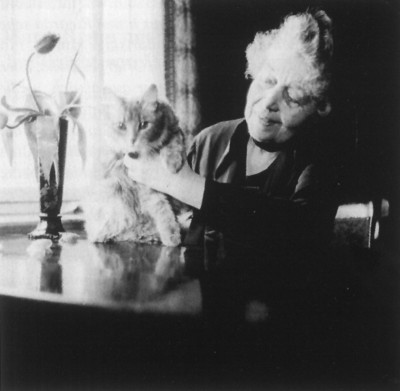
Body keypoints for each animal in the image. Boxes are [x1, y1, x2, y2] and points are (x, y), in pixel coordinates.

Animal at [84, 85, 188, 248]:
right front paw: (172, 236)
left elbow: (173, 143)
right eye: (121, 126)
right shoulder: (145, 188)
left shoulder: (174, 129)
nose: (132, 140)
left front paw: (173, 163)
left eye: (143, 124)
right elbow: (163, 210)